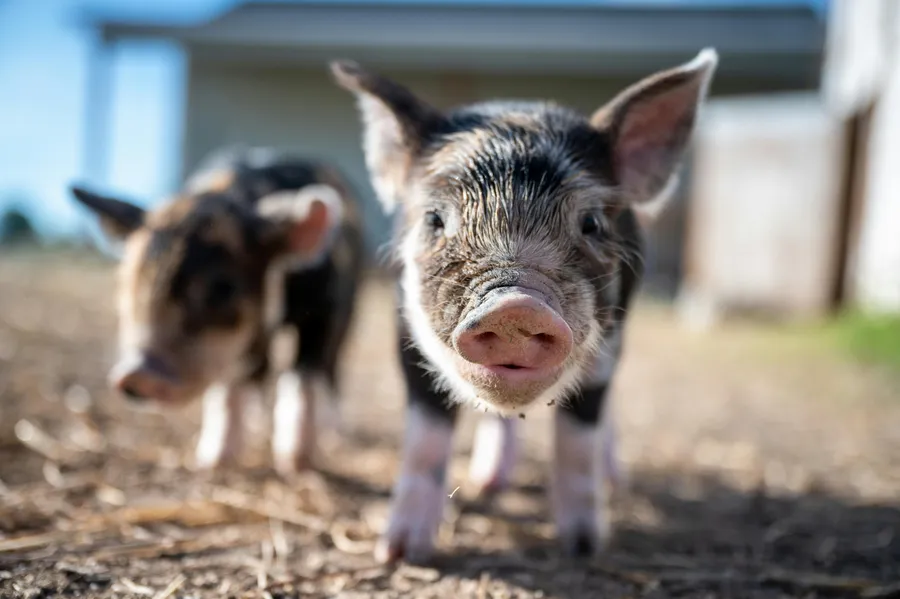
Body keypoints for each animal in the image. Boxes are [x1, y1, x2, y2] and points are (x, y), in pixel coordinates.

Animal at [68, 147, 364, 474]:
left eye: (223, 287)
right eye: (127, 280)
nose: (136, 373)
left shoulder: (326, 308)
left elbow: (304, 376)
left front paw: (296, 465)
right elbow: (229, 384)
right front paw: (212, 462)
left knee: (331, 368)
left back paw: (333, 433)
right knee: (259, 370)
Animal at [331, 49, 718, 563]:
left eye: (591, 223)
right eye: (434, 219)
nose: (514, 307)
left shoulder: (607, 348)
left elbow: (578, 440)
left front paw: (583, 546)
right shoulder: (408, 340)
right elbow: (425, 442)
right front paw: (399, 552)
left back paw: (613, 481)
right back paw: (488, 483)